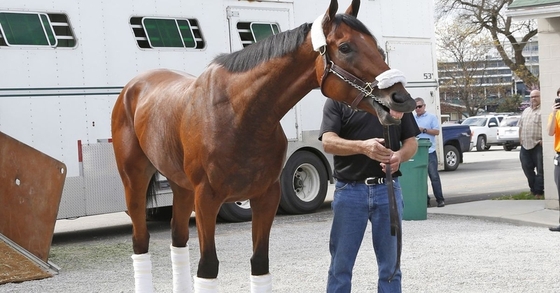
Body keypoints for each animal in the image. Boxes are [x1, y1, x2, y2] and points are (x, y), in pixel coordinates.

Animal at [110, 1, 416, 290]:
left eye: (378, 48)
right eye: (345, 47)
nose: (402, 99)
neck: (239, 115)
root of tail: (133, 87)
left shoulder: (266, 196)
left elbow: (259, 263)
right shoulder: (207, 199)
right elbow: (208, 267)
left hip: (181, 187)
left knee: (178, 239)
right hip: (134, 181)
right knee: (141, 242)